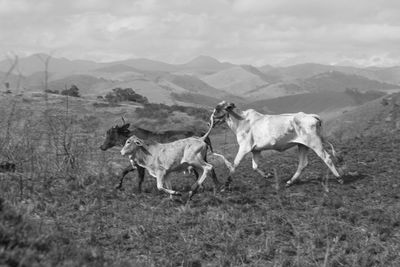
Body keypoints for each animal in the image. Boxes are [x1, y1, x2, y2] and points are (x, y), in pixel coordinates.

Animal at [211, 101, 346, 187]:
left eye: (217, 109)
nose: (210, 120)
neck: (241, 121)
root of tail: (311, 116)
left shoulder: (244, 148)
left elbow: (234, 165)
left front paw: (225, 185)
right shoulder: (256, 150)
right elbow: (254, 166)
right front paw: (267, 175)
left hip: (315, 143)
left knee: (327, 158)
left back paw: (339, 178)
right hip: (302, 145)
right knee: (303, 164)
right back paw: (290, 182)